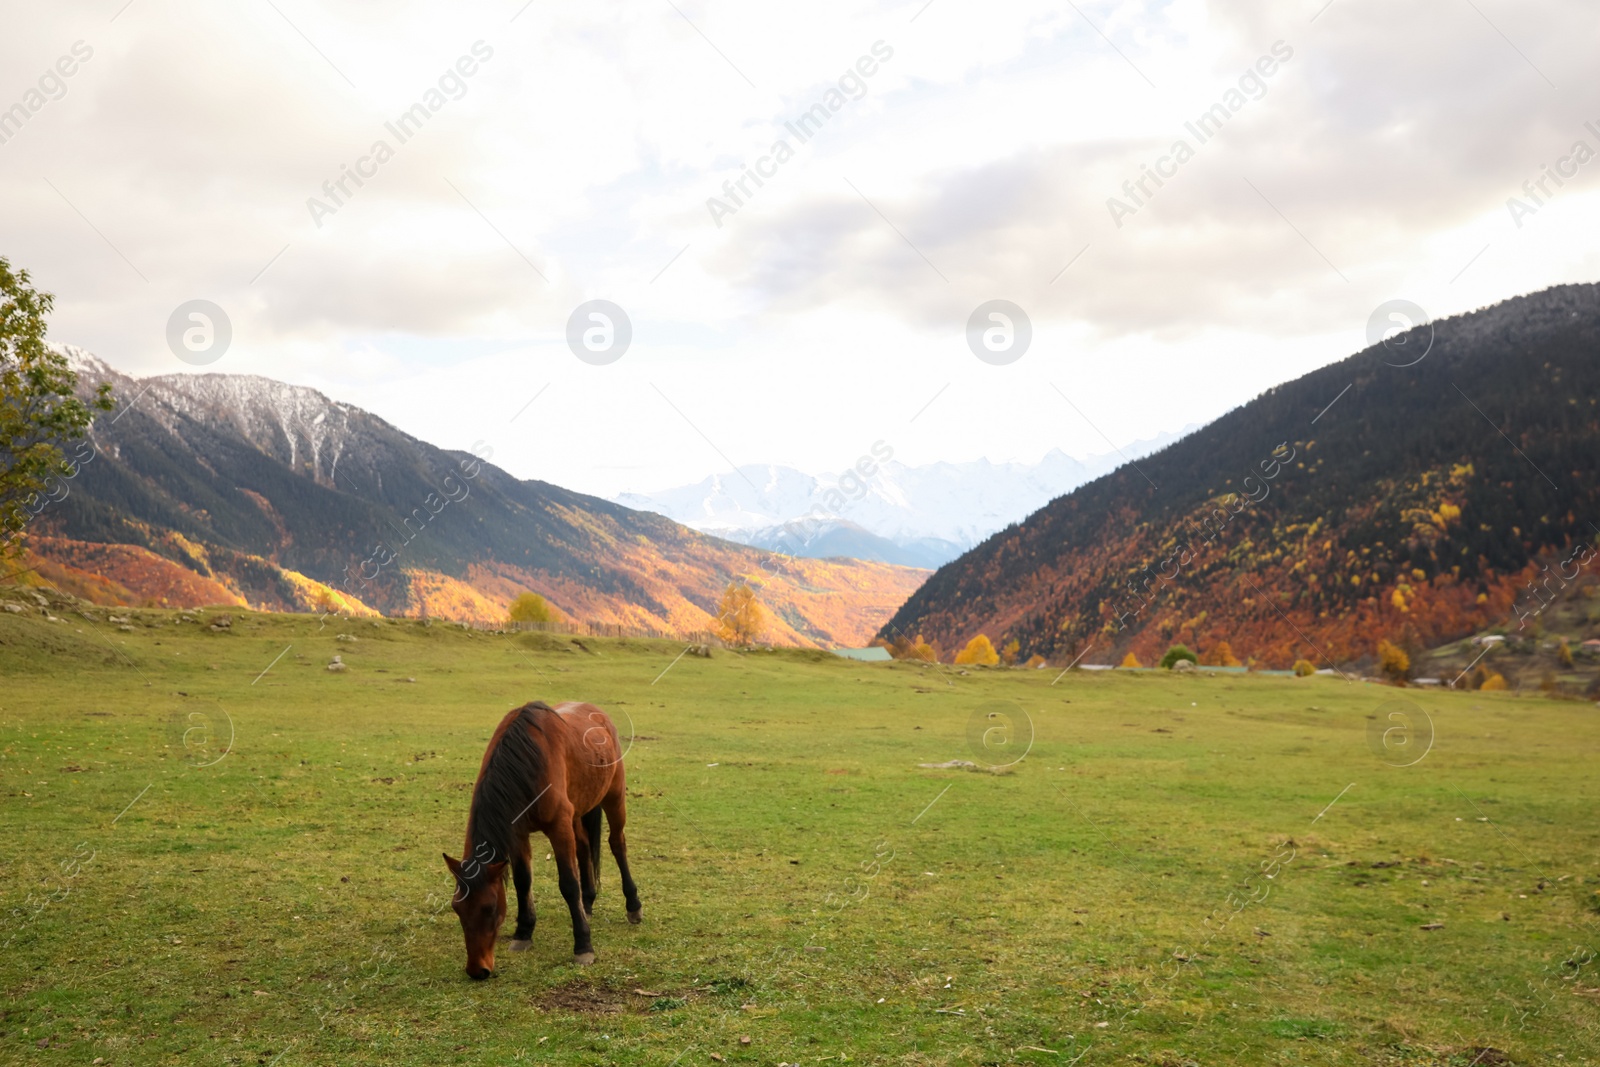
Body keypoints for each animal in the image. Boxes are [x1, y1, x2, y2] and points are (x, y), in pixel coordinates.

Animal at [441, 700, 640, 985]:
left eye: (489, 908)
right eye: (457, 908)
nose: (477, 970)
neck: (526, 762)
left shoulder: (559, 827)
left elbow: (569, 885)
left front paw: (583, 946)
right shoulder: (518, 833)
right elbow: (523, 881)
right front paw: (524, 932)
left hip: (613, 797)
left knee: (617, 844)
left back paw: (633, 905)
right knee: (584, 847)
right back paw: (587, 903)